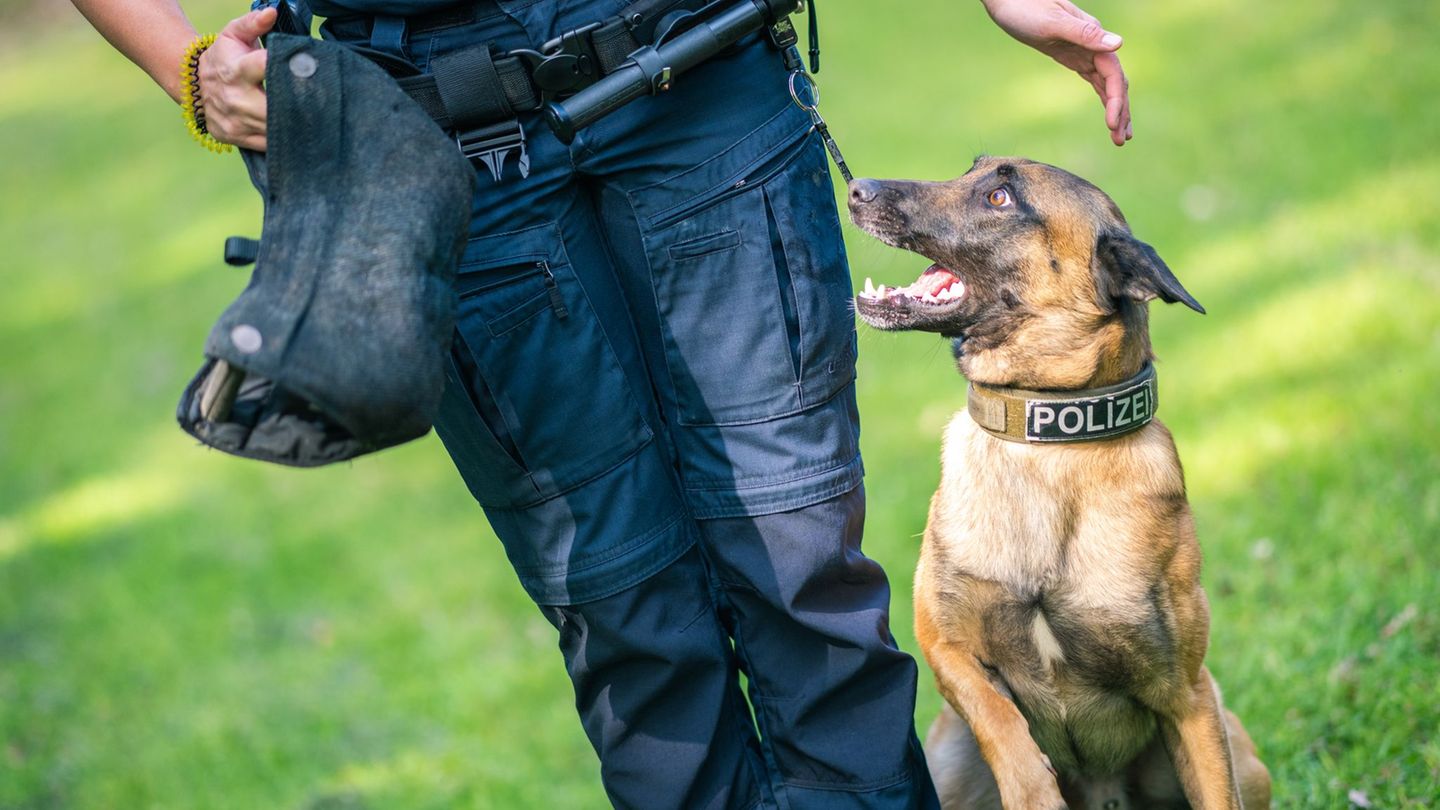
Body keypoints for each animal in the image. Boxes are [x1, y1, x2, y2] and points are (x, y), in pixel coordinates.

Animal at [846, 154, 1267, 801]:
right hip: (947, 758)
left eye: (999, 197)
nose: (855, 189)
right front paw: (1033, 788)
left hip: (1241, 750)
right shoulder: (944, 645)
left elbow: (1216, 793)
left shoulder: (1189, 699)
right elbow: (1001, 725)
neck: (1047, 439)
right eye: (970, 169)